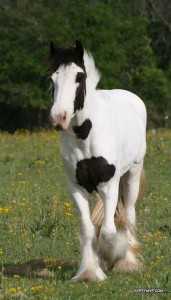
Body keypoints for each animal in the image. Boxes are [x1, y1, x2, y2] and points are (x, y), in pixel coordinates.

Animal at [48, 39, 147, 282]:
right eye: (53, 78)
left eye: (79, 77)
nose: (58, 118)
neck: (86, 136)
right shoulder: (76, 187)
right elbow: (87, 228)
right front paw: (90, 271)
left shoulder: (109, 184)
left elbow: (109, 231)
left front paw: (112, 256)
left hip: (132, 173)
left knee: (129, 213)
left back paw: (128, 260)